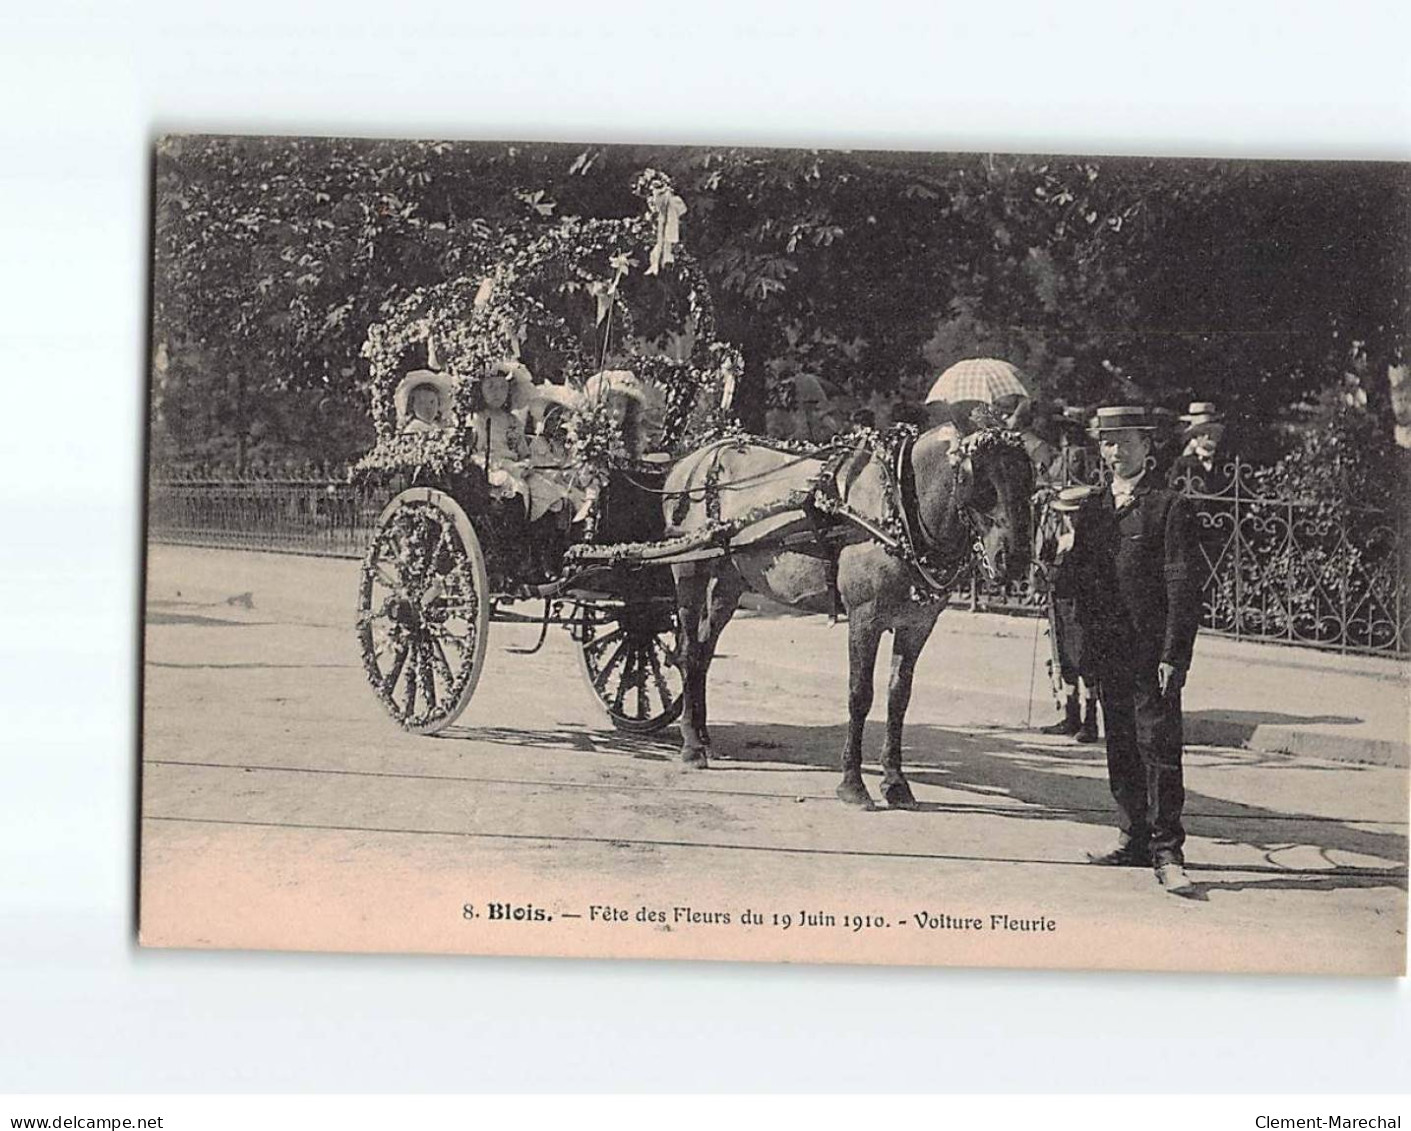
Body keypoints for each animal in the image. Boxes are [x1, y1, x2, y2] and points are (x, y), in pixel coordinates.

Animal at [660, 423, 1038, 801]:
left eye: (1028, 481)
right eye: (978, 483)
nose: (1014, 559)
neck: (899, 509)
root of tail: (691, 460)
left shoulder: (917, 625)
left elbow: (898, 697)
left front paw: (895, 780)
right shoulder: (864, 619)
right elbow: (860, 695)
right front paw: (853, 782)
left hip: (729, 580)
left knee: (704, 653)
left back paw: (703, 735)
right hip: (690, 571)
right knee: (689, 653)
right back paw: (691, 745)